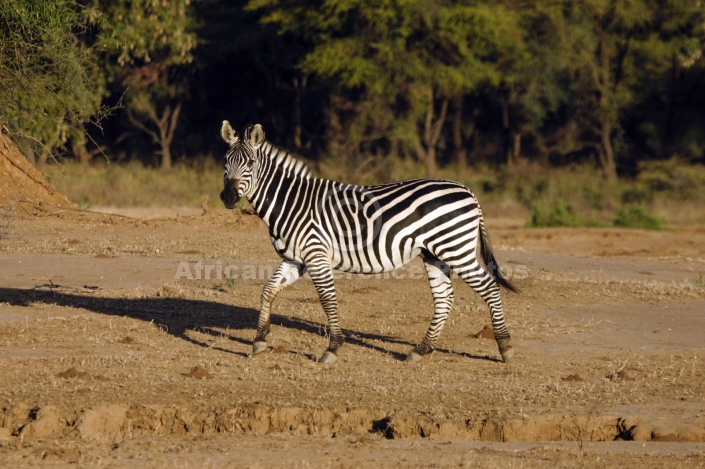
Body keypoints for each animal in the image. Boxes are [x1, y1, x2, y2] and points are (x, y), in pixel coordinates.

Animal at [217, 119, 516, 362]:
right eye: (225, 162)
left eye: (251, 164)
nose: (229, 198)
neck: (292, 202)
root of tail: (467, 190)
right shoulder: (294, 259)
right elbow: (267, 290)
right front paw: (259, 340)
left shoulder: (317, 254)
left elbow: (327, 299)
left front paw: (332, 348)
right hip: (435, 253)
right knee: (444, 297)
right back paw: (421, 350)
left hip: (456, 248)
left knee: (489, 287)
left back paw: (505, 347)